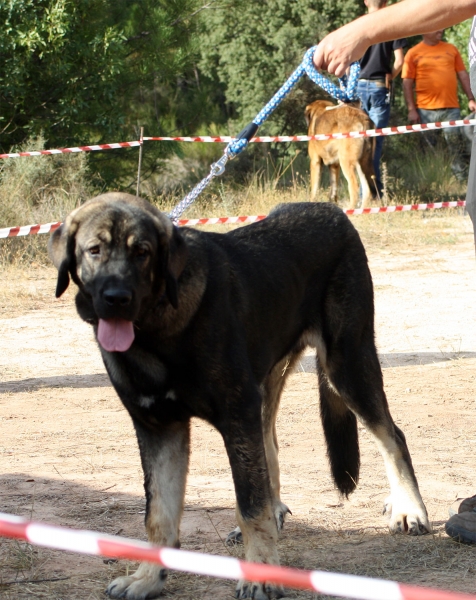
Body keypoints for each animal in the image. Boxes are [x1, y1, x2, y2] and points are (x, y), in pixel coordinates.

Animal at [50, 195, 430, 596]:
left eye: (143, 252)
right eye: (94, 250)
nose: (117, 299)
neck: (156, 330)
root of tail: (331, 209)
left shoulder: (236, 416)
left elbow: (250, 507)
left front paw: (261, 572)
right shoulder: (159, 428)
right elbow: (158, 514)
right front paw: (148, 577)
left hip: (347, 367)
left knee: (393, 436)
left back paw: (409, 509)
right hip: (268, 387)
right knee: (271, 449)